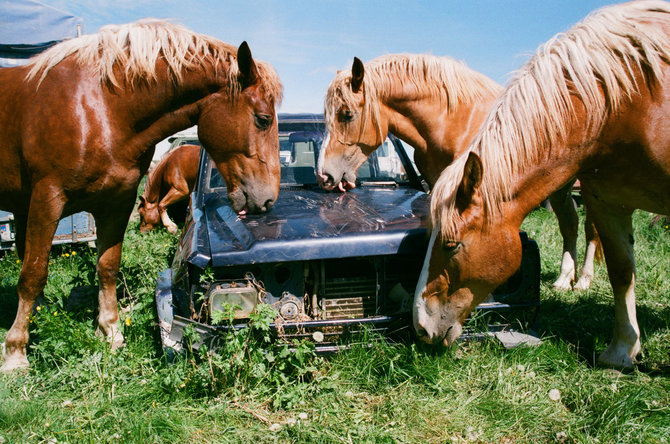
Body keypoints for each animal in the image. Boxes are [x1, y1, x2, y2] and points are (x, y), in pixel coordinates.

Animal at [0, 19, 284, 372]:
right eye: (263, 119)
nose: (269, 198)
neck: (101, 108)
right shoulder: (47, 199)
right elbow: (33, 275)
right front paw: (15, 352)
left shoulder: (115, 202)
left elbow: (107, 266)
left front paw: (109, 331)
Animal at [318, 53, 604, 292]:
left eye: (347, 114)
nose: (324, 175)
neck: (452, 120)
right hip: (560, 186)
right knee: (570, 223)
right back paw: (564, 279)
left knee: (592, 229)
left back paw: (583, 280)